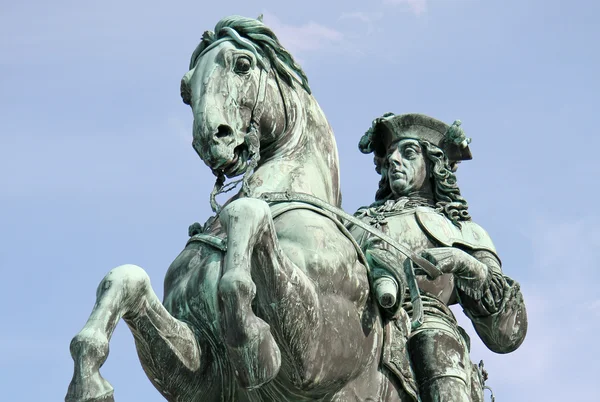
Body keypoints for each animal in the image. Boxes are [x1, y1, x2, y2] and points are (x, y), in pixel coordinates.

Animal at [64, 15, 412, 402]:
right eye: (186, 91)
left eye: (243, 64)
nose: (211, 139)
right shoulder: (203, 375)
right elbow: (127, 277)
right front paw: (89, 382)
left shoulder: (320, 355)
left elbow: (244, 214)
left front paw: (252, 341)